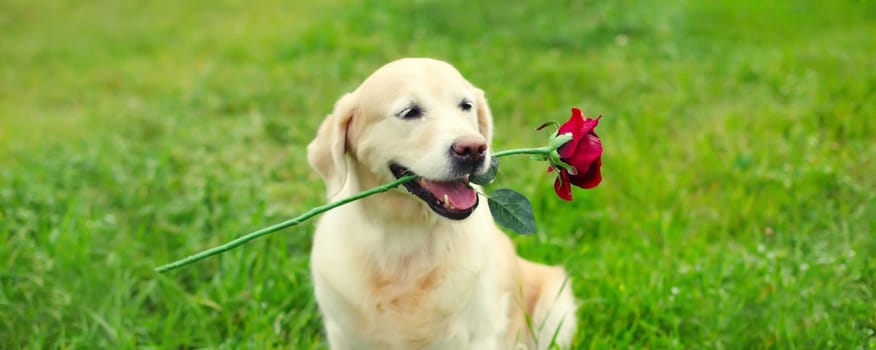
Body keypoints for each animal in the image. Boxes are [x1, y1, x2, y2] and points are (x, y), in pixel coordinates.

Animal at [308, 58, 576, 350]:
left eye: (466, 105)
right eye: (409, 112)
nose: (473, 149)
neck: (405, 237)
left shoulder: (478, 337)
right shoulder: (344, 335)